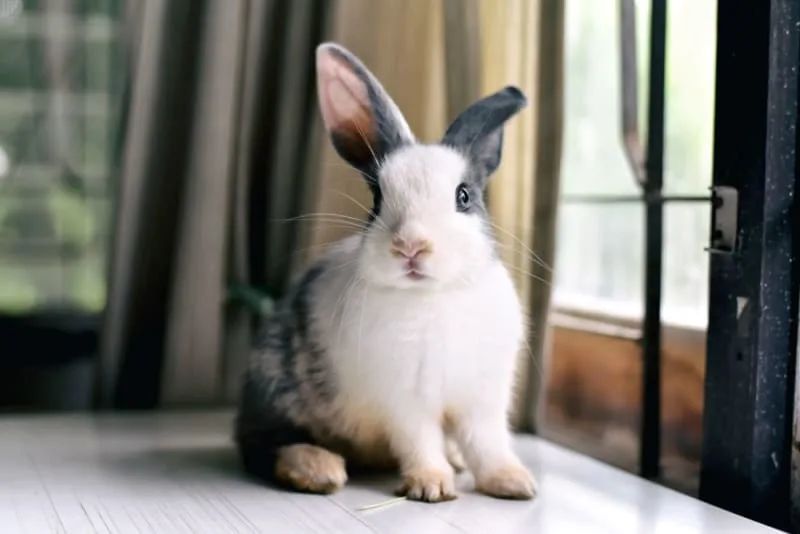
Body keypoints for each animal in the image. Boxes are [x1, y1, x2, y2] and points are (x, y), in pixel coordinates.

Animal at [234, 42, 536, 502]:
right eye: (377, 199)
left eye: (463, 196)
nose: (410, 246)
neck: (432, 296)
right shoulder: (405, 401)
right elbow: (420, 442)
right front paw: (432, 486)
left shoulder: (482, 399)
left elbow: (488, 443)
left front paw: (515, 483)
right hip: (274, 386)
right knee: (263, 444)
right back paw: (319, 469)